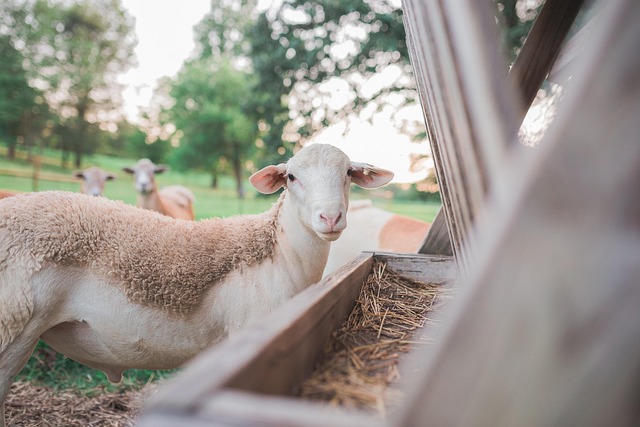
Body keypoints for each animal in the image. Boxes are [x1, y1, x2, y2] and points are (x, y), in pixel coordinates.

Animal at [0, 143, 393, 426]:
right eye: (292, 177)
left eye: (348, 173)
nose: (330, 217)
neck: (279, 253)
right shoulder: (245, 334)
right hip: (13, 325)